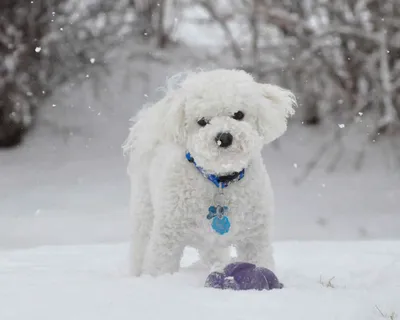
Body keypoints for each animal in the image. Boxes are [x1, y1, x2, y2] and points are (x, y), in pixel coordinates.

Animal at [123, 69, 296, 276]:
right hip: (144, 209)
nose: (224, 137)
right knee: (140, 245)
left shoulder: (255, 238)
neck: (219, 180)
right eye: (202, 122)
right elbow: (160, 266)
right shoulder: (168, 237)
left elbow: (259, 261)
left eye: (238, 114)